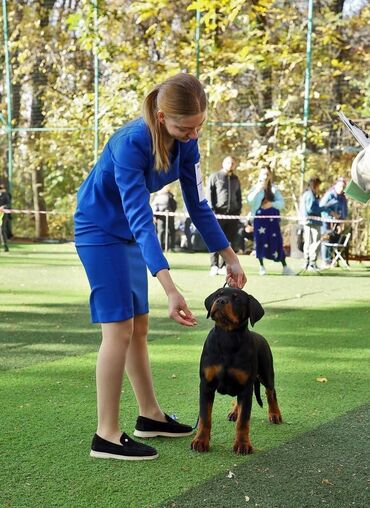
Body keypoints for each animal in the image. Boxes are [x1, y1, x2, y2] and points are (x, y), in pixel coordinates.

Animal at [192, 288, 282, 454]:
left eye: (237, 299)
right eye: (218, 295)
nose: (220, 301)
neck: (228, 337)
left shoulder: (246, 387)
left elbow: (243, 421)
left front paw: (242, 444)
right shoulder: (206, 385)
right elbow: (205, 417)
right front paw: (200, 441)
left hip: (266, 372)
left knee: (270, 392)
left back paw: (275, 414)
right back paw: (234, 412)